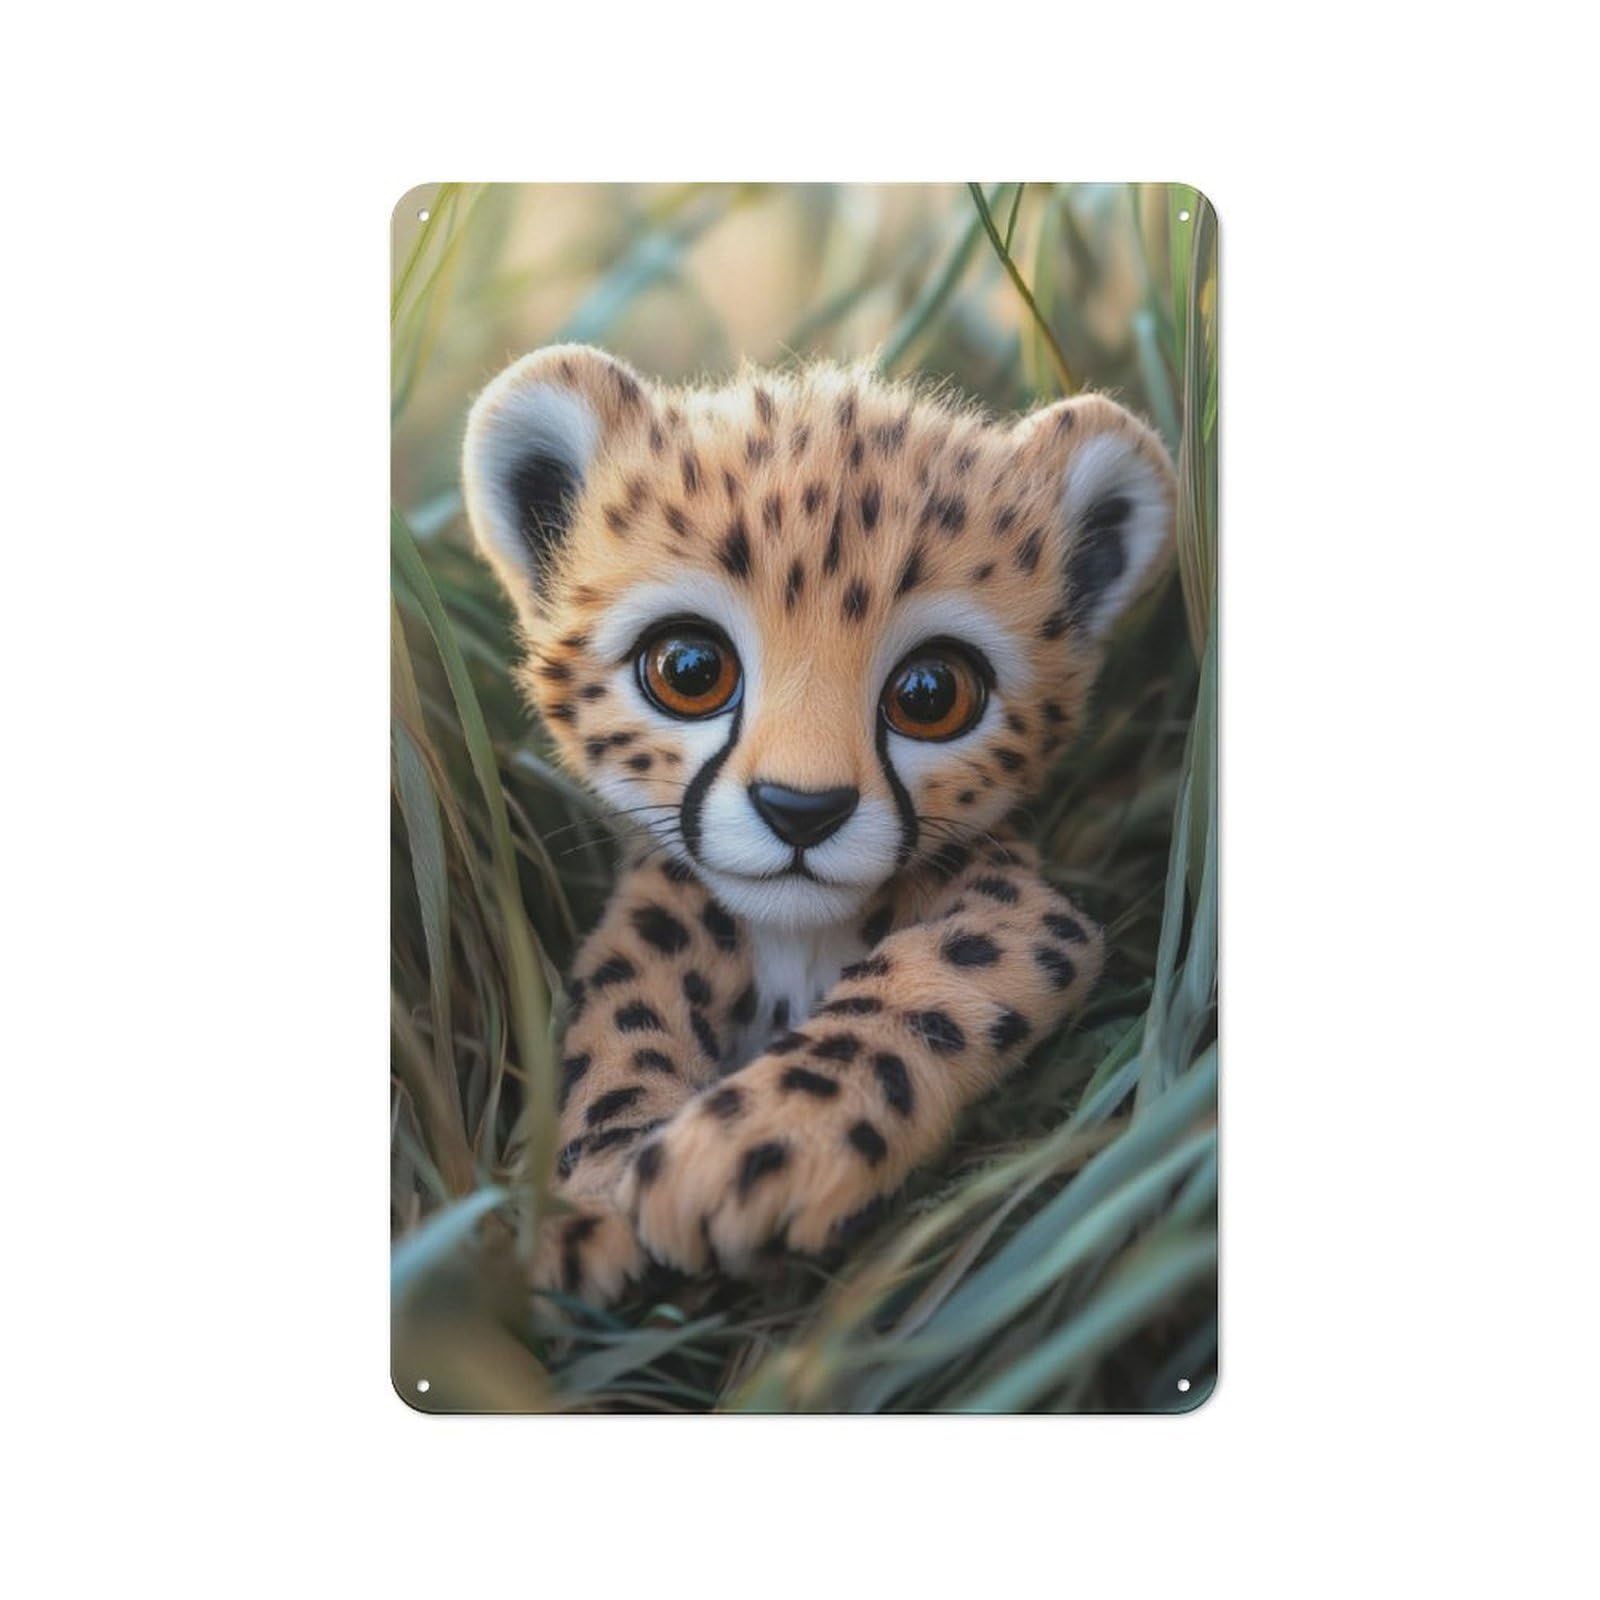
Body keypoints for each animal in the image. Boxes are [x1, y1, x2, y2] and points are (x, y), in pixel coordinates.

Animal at [461, 343, 1175, 1306]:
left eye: (931, 694)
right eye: (690, 669)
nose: (802, 810)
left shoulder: (1028, 911)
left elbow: (929, 983)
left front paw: (757, 1142)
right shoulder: (660, 905)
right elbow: (618, 1016)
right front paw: (593, 1186)